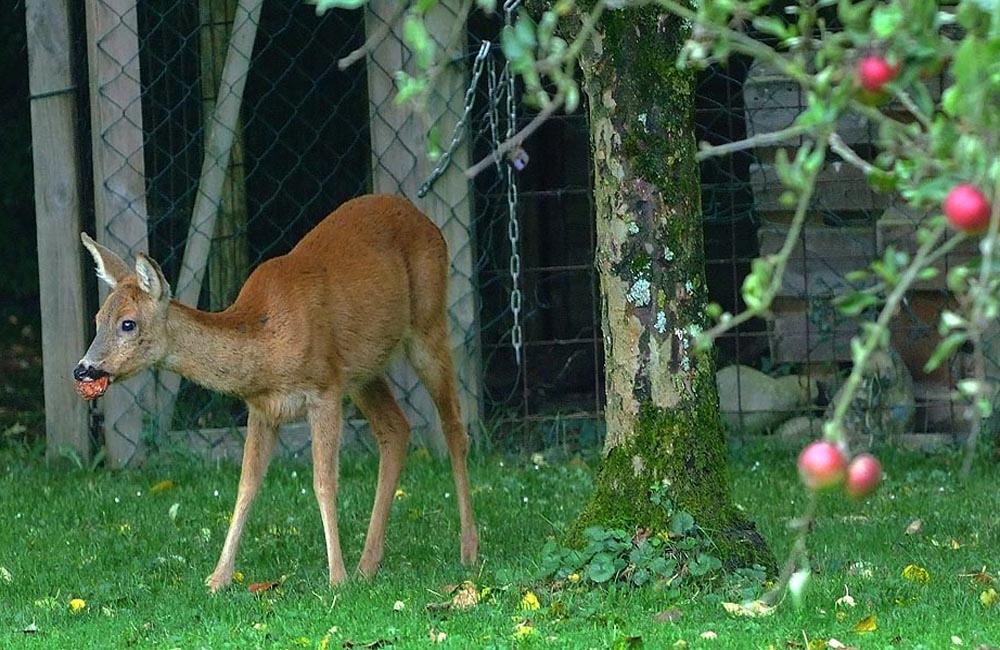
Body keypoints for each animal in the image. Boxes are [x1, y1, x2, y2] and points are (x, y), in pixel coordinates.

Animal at [72, 191, 478, 588]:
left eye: (128, 323)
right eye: (97, 318)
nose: (83, 369)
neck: (267, 347)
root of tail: (424, 219)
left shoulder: (325, 390)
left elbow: (323, 482)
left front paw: (337, 579)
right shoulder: (262, 407)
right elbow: (247, 485)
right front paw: (218, 579)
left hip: (428, 322)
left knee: (455, 428)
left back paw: (468, 549)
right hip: (363, 371)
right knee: (396, 429)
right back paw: (368, 564)